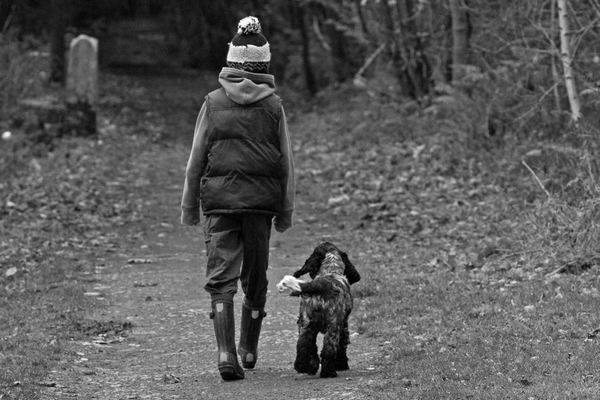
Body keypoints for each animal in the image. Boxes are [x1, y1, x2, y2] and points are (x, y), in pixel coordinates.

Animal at [278, 242, 360, 376]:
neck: (331, 269)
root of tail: (320, 285)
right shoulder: (343, 324)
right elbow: (342, 346)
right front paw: (342, 365)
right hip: (333, 325)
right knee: (328, 349)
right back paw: (329, 373)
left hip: (306, 323)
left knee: (304, 344)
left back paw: (304, 367)